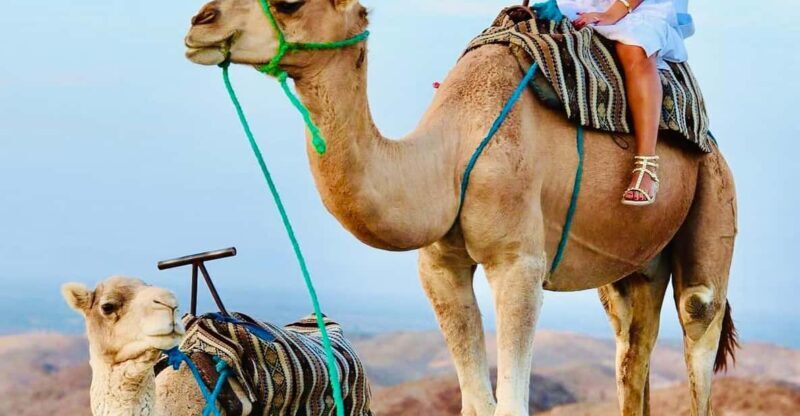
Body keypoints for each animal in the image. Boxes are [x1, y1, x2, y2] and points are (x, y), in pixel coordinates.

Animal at [183, 1, 738, 415]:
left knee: (698, 317)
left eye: (289, 3)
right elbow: (475, 401)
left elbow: (510, 403)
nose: (199, 21)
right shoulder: (440, 267)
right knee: (631, 347)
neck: (448, 157)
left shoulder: (518, 263)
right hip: (634, 266)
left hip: (714, 190)